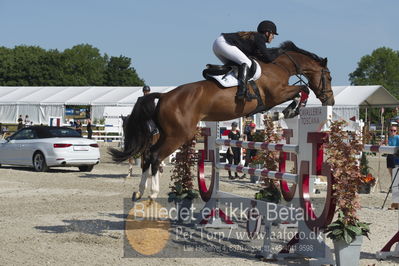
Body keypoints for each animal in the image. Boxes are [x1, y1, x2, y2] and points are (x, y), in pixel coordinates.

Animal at [108, 41, 334, 195]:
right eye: (329, 77)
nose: (330, 100)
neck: (280, 66)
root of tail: (163, 96)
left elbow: (300, 91)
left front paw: (284, 112)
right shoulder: (276, 94)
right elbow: (302, 89)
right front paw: (288, 111)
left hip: (167, 133)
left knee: (147, 155)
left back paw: (139, 191)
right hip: (178, 135)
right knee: (154, 156)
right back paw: (152, 193)